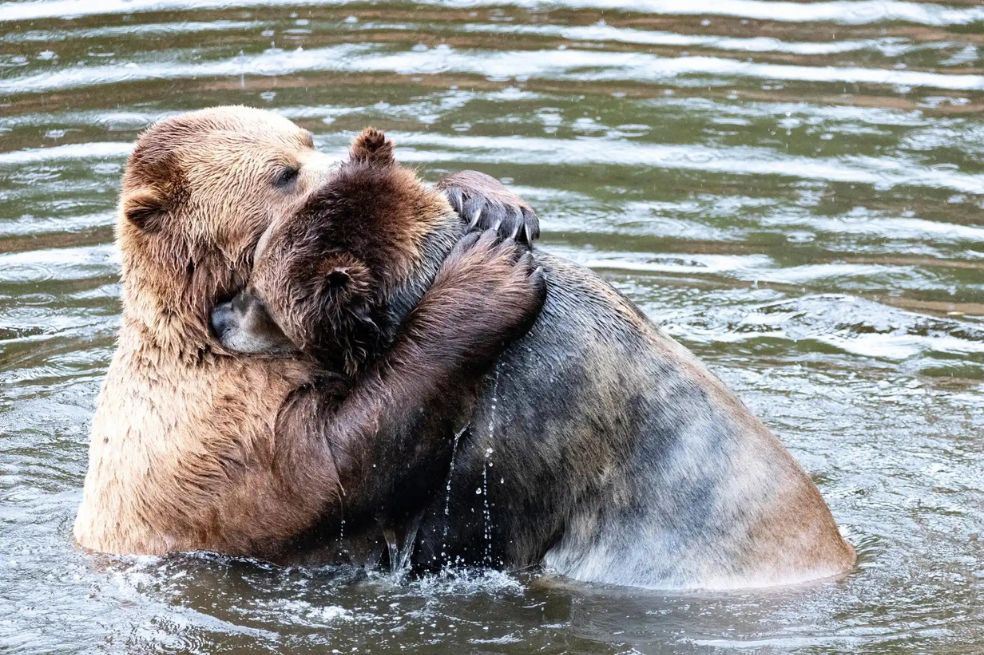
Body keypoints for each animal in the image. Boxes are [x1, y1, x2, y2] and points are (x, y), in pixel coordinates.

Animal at [73, 106, 544, 561]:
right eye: (283, 173)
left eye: (307, 140)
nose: (343, 165)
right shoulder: (220, 430)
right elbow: (336, 469)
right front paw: (487, 279)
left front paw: (492, 204)